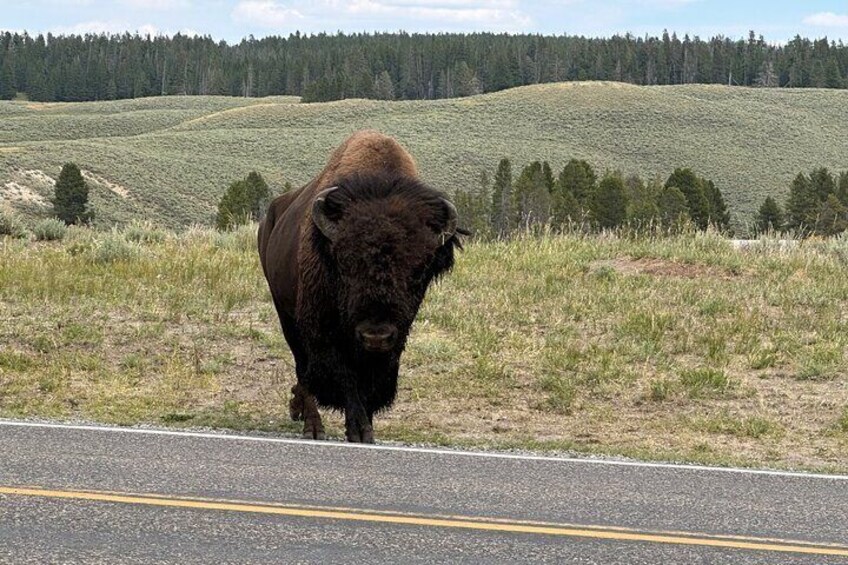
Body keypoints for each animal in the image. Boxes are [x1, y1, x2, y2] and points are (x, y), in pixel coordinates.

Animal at [258, 130, 463, 443]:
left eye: (419, 270)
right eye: (344, 265)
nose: (375, 335)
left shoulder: (394, 340)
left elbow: (372, 382)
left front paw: (367, 426)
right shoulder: (324, 331)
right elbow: (345, 377)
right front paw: (359, 430)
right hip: (286, 314)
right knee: (303, 369)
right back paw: (313, 426)